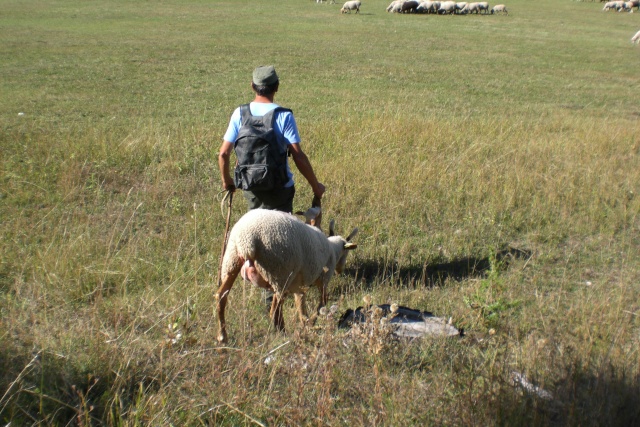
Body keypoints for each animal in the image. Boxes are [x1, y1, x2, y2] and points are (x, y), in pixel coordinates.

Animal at [214, 209, 356, 342]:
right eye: (346, 254)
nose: (340, 271)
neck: (333, 249)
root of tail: (248, 241)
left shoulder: (299, 286)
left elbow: (301, 306)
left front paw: (306, 323)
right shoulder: (323, 279)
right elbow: (323, 302)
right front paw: (312, 322)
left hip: (231, 260)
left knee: (221, 296)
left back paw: (222, 336)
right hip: (279, 273)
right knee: (274, 311)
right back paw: (283, 334)